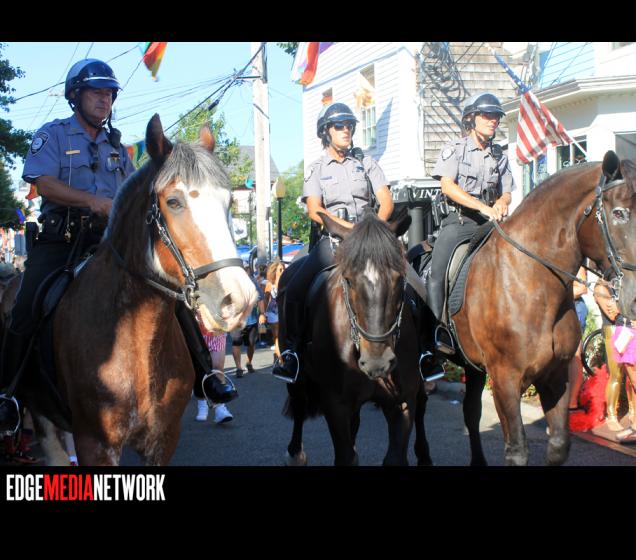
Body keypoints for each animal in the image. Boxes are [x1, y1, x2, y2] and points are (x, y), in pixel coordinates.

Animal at [22, 114, 257, 466]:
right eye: (173, 202)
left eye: (228, 202)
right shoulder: (95, 444)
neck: (133, 336)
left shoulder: (164, 439)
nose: (239, 300)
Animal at [280, 210, 433, 466]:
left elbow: (394, 456)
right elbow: (345, 456)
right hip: (296, 374)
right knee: (299, 403)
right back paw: (294, 453)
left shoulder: (402, 402)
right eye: (349, 280)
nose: (377, 362)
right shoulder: (335, 403)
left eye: (399, 278)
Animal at [451, 151, 636, 466]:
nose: (633, 298)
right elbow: (517, 450)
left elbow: (559, 444)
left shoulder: (556, 374)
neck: (530, 280)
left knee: (470, 412)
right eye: (619, 213)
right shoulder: (505, 380)